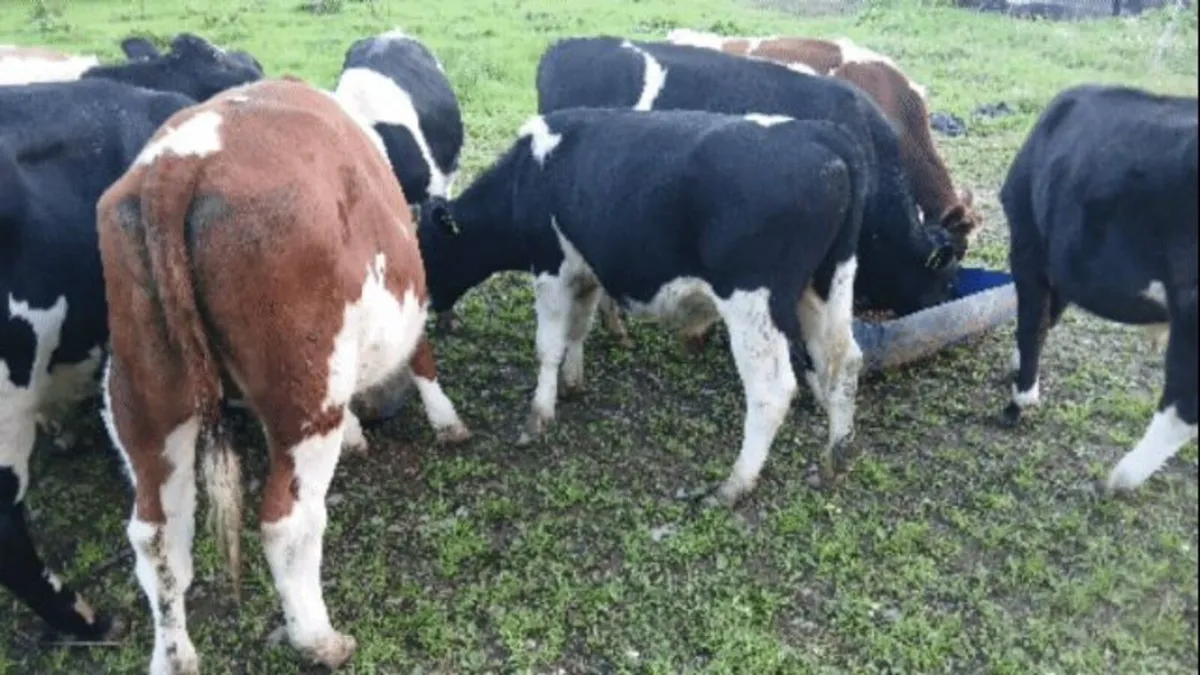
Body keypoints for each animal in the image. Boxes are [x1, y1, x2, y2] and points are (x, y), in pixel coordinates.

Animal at [97, 76, 471, 674]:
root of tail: (177, 166)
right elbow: (422, 356)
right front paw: (447, 422)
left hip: (143, 390)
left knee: (158, 536)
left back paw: (175, 655)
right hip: (304, 396)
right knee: (286, 522)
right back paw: (318, 637)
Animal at [415, 106, 869, 506]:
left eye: (427, 249)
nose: (425, 301)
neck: (525, 175)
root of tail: (821, 134)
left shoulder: (551, 267)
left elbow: (548, 346)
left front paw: (538, 416)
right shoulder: (586, 270)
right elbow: (577, 330)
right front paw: (573, 382)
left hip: (752, 302)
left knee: (771, 390)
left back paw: (734, 485)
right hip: (829, 284)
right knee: (845, 361)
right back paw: (836, 455)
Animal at [998, 83, 1197, 493]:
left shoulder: (1028, 242)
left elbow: (1032, 323)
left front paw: (1023, 395)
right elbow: (1047, 316)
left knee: (1182, 406)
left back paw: (1121, 477)